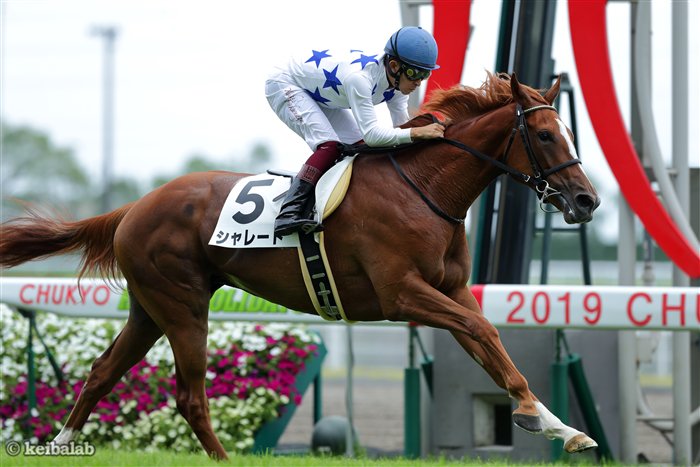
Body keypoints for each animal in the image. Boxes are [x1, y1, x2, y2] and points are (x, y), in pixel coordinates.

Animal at [0, 73, 600, 459]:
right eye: (545, 134)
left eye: (569, 132)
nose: (587, 200)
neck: (425, 189)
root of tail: (134, 207)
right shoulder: (402, 294)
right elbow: (483, 331)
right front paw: (535, 414)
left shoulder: (449, 291)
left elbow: (489, 344)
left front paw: (558, 426)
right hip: (184, 307)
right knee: (190, 397)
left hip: (149, 309)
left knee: (103, 371)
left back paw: (59, 443)